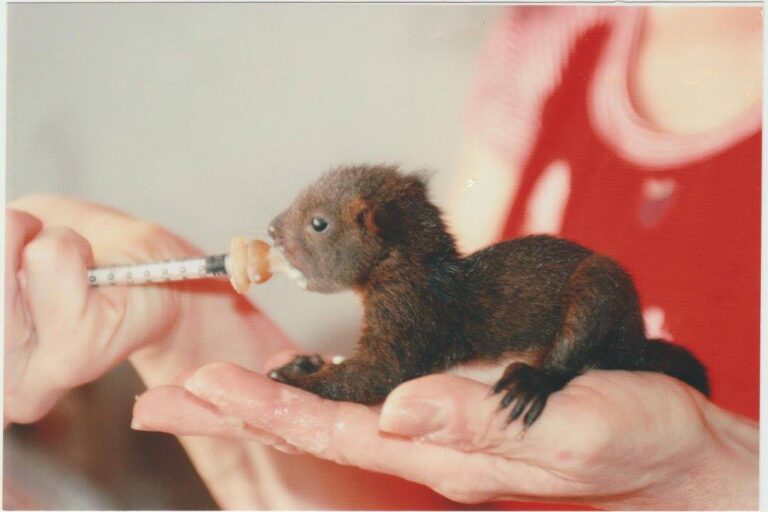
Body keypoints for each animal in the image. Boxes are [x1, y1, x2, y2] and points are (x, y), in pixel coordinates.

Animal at [267, 164, 709, 428]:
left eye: (318, 223)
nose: (271, 229)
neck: (416, 271)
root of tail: (637, 341)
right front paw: (305, 362)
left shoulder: (411, 315)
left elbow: (376, 376)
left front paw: (294, 378)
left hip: (599, 283)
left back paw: (530, 381)